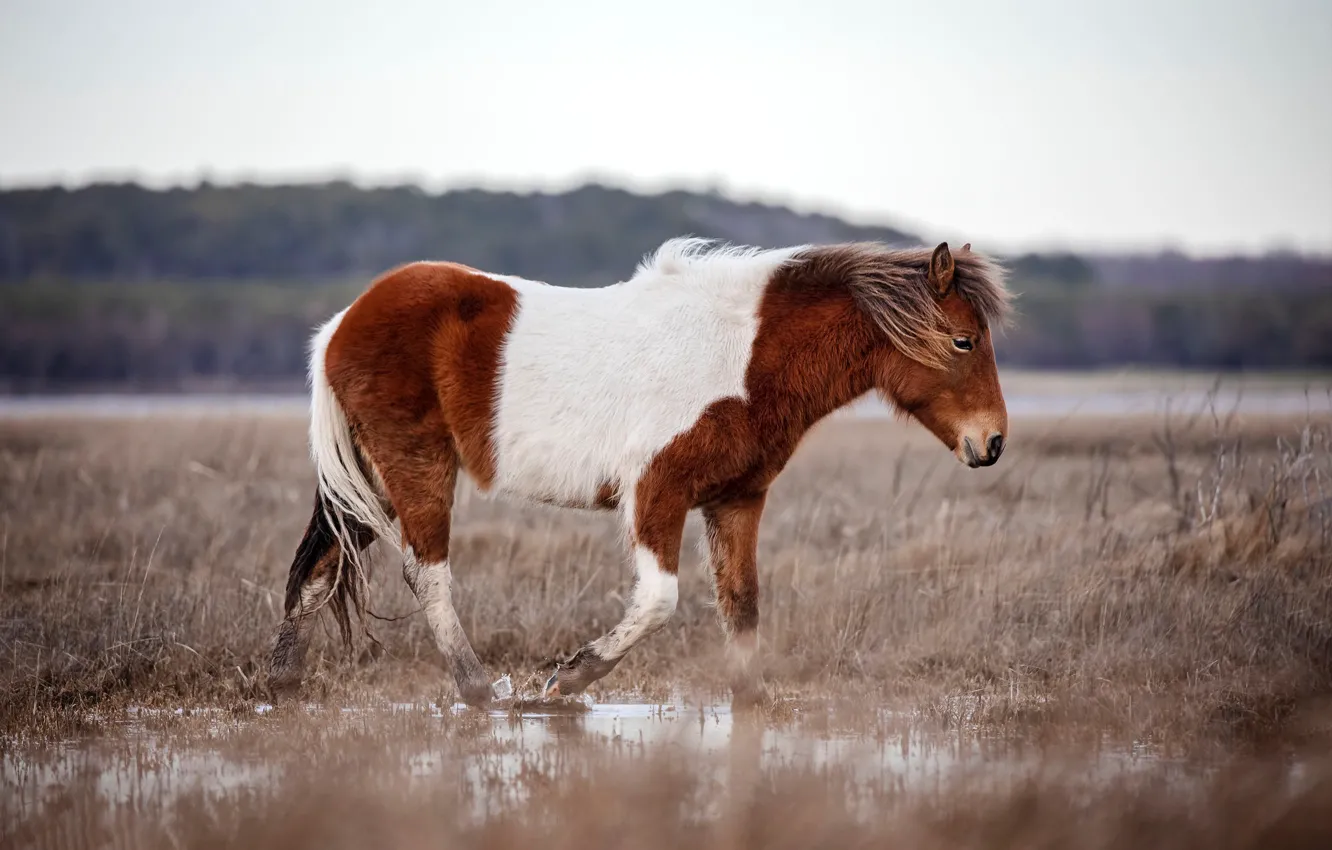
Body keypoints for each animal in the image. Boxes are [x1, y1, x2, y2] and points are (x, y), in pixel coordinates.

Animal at [266, 237, 1012, 707]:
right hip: (415, 468)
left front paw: (752, 699)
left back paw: (282, 686)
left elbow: (741, 602)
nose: (993, 442)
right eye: (963, 341)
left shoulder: (736, 501)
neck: (746, 356)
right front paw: (570, 679)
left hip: (374, 485)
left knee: (319, 572)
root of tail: (340, 325)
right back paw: (479, 690)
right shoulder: (658, 491)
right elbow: (659, 601)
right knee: (426, 573)